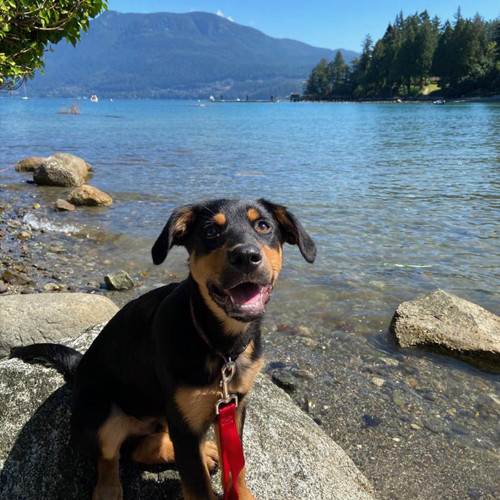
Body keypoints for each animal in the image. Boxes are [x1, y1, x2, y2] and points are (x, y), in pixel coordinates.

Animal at [11, 197, 316, 498]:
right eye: (210, 231)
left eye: (264, 226)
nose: (245, 256)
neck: (220, 344)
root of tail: (77, 372)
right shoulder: (186, 422)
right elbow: (197, 486)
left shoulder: (234, 406)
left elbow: (237, 469)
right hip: (101, 413)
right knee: (111, 457)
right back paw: (110, 490)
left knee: (143, 446)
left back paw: (202, 451)